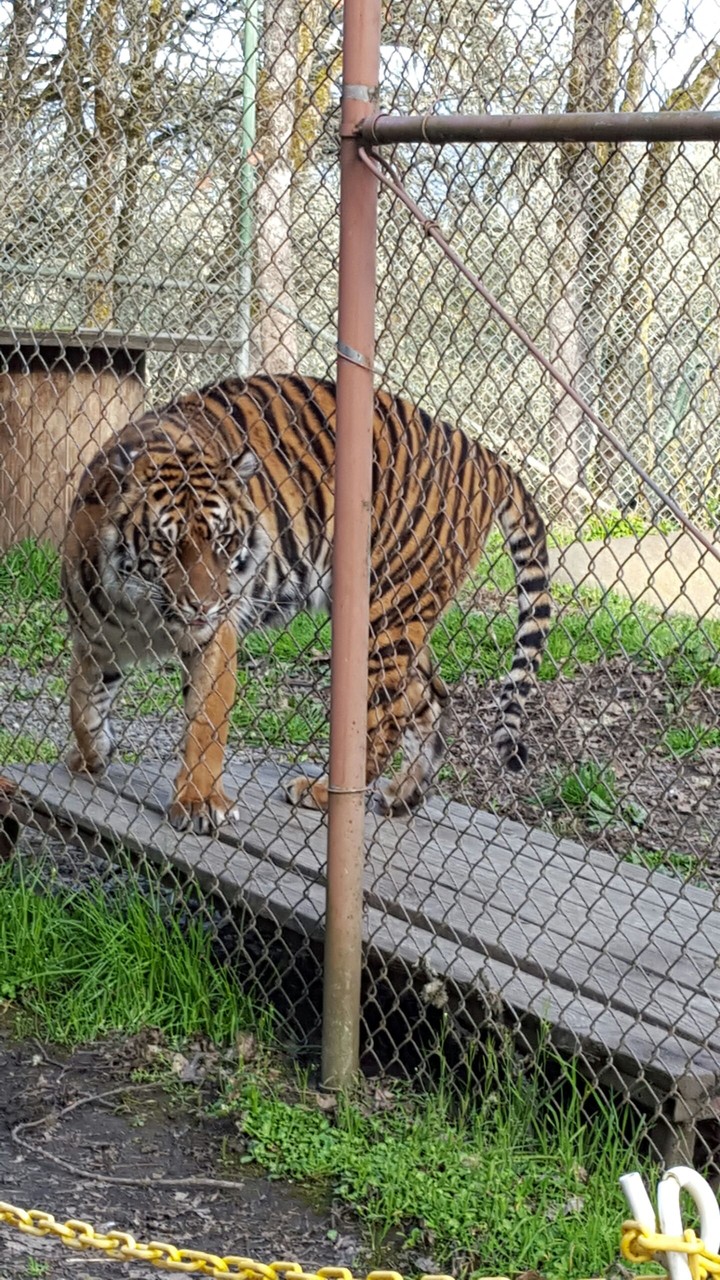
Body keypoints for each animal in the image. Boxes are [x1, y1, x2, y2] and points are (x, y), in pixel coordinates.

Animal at [62, 373, 551, 833]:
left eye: (224, 541)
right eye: (166, 545)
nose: (204, 605)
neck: (140, 606)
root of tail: (480, 452)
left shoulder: (214, 638)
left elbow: (205, 723)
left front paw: (199, 802)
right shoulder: (95, 638)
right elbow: (82, 704)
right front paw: (91, 757)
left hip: (386, 611)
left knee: (383, 717)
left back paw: (323, 793)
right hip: (404, 616)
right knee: (430, 697)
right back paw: (403, 795)